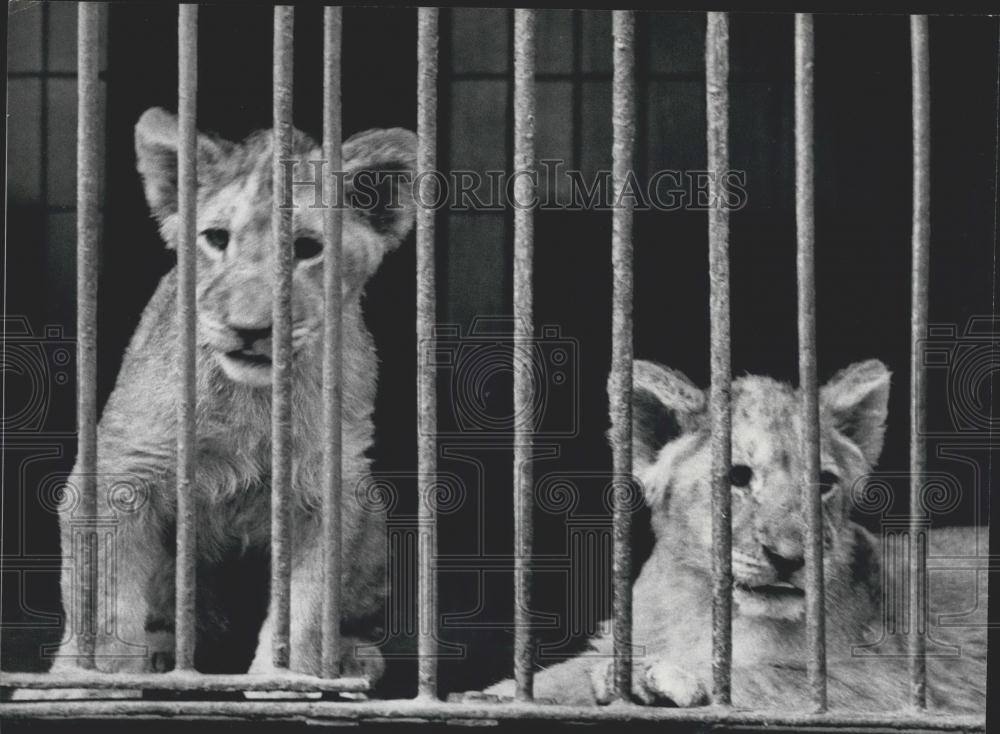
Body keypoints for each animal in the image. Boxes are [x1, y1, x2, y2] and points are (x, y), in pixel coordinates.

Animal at [25, 108, 416, 694]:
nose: (250, 330)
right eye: (215, 238)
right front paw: (93, 683)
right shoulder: (118, 471)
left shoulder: (328, 489)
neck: (254, 399)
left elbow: (305, 610)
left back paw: (351, 658)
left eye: (306, 248)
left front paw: (286, 682)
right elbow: (105, 605)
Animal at [482, 359, 987, 712]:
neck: (698, 605)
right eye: (738, 477)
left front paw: (658, 678)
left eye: (824, 483)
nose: (790, 557)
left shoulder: (892, 680)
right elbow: (563, 673)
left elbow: (766, 678)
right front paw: (502, 693)